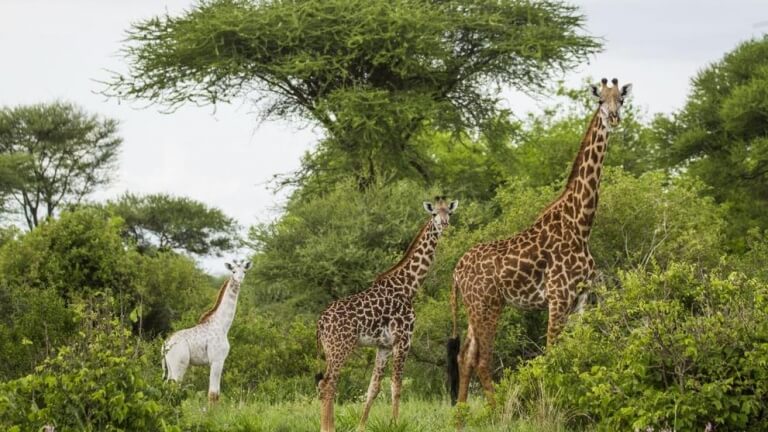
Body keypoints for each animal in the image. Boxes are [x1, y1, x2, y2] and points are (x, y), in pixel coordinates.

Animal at [162, 259, 252, 403]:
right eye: (233, 271)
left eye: (244, 271)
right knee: (174, 388)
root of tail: (165, 345)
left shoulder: (219, 360)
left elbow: (217, 394)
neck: (222, 325)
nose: (239, 280)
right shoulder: (216, 359)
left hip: (169, 366)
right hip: (179, 365)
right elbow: (213, 394)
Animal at [316, 197, 458, 432]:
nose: (444, 224)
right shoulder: (403, 340)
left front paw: (361, 427)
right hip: (340, 348)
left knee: (325, 383)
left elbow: (373, 387)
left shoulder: (383, 346)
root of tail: (320, 323)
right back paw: (328, 428)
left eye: (449, 212)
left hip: (330, 350)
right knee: (328, 384)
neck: (409, 286)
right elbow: (396, 385)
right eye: (434, 214)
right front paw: (395, 424)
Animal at [447, 78, 632, 407]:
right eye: (600, 101)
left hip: (473, 309)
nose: (613, 119)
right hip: (488, 306)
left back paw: (462, 412)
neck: (581, 224)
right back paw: (495, 410)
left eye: (620, 100)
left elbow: (576, 351)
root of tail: (456, 272)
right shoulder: (558, 296)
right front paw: (553, 402)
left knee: (464, 356)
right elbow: (551, 353)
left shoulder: (581, 297)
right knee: (481, 359)